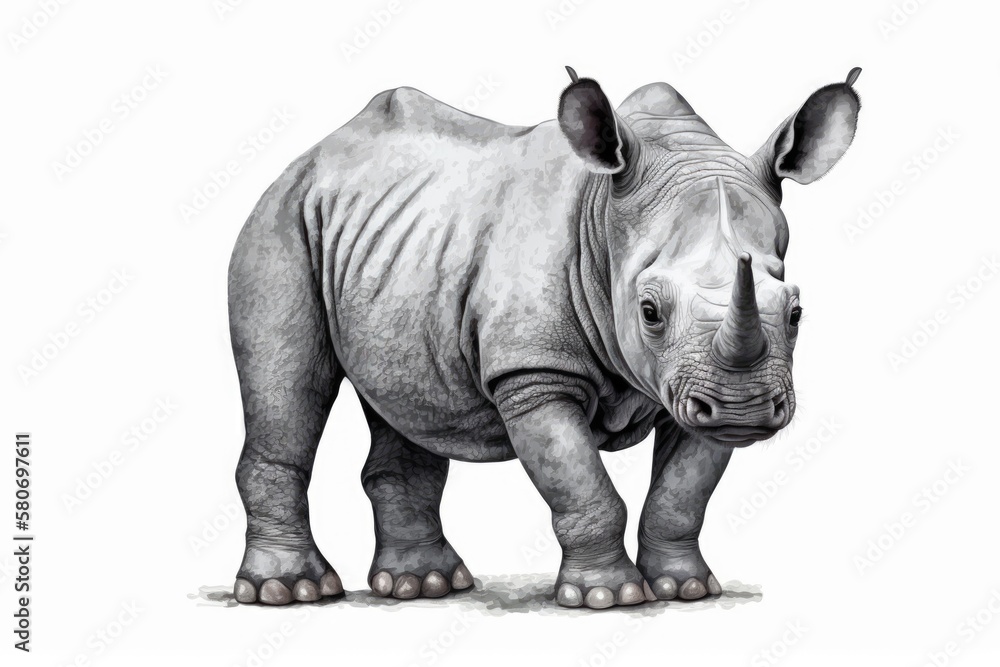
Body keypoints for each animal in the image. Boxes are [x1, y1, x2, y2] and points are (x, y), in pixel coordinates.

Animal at [228, 66, 861, 609]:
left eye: (797, 312)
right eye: (649, 312)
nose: (745, 406)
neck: (606, 220)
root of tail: (313, 155)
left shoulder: (693, 380)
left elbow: (681, 494)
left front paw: (685, 590)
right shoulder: (534, 371)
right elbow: (584, 486)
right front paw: (609, 598)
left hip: (395, 241)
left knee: (408, 398)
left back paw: (421, 586)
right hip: (280, 221)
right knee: (289, 382)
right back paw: (290, 592)